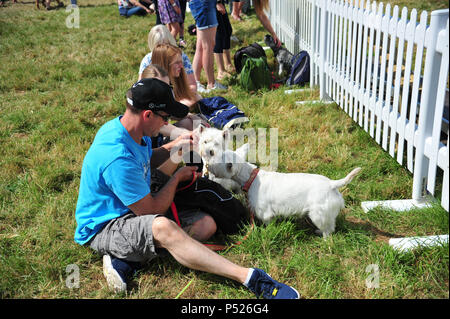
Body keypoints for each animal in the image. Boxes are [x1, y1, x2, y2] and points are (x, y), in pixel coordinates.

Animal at [206, 150, 360, 238]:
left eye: (215, 159)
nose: (206, 166)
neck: (251, 177)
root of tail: (332, 184)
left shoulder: (266, 213)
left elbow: (267, 223)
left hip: (318, 213)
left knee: (329, 229)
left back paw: (323, 238)